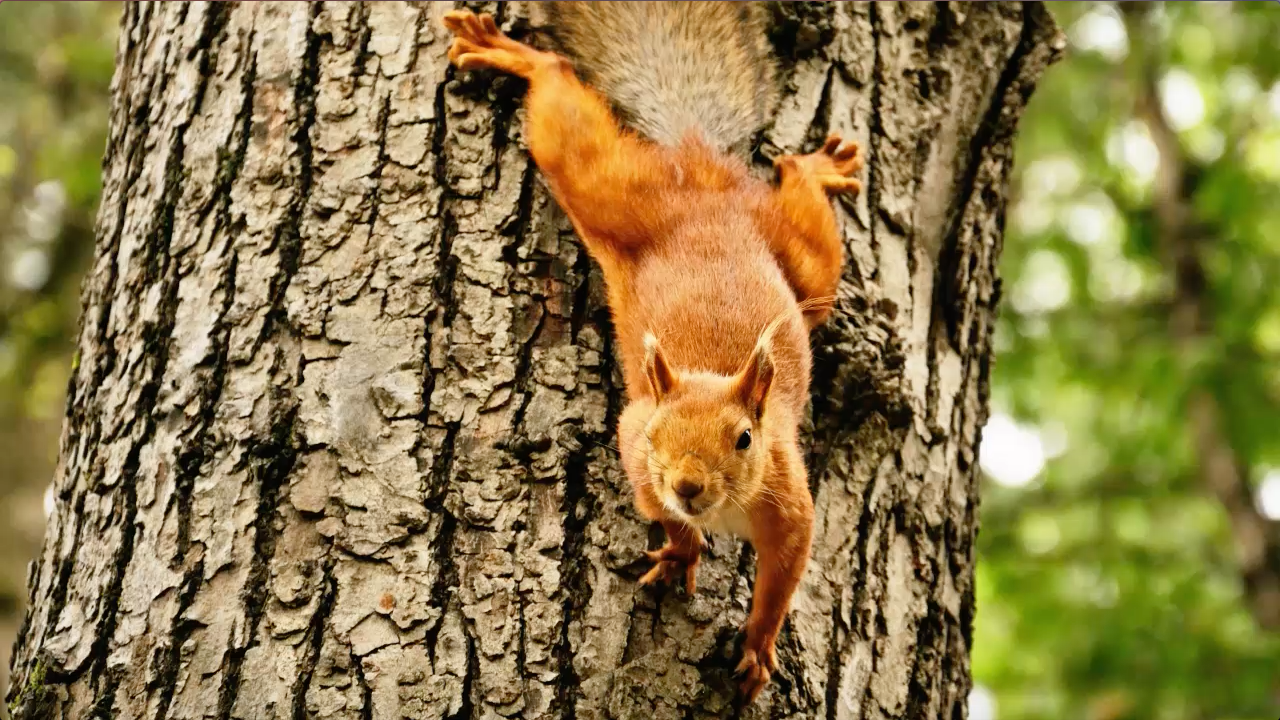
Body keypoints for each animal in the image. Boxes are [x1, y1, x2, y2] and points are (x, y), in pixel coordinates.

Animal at [442, 2, 862, 703]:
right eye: (660, 431)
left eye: (744, 438)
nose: (688, 484)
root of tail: (701, 176)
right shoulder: (635, 446)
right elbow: (661, 511)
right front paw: (682, 551)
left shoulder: (790, 503)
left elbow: (782, 580)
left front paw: (758, 646)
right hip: (611, 191)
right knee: (563, 101)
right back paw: (511, 53)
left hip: (800, 263)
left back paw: (816, 168)